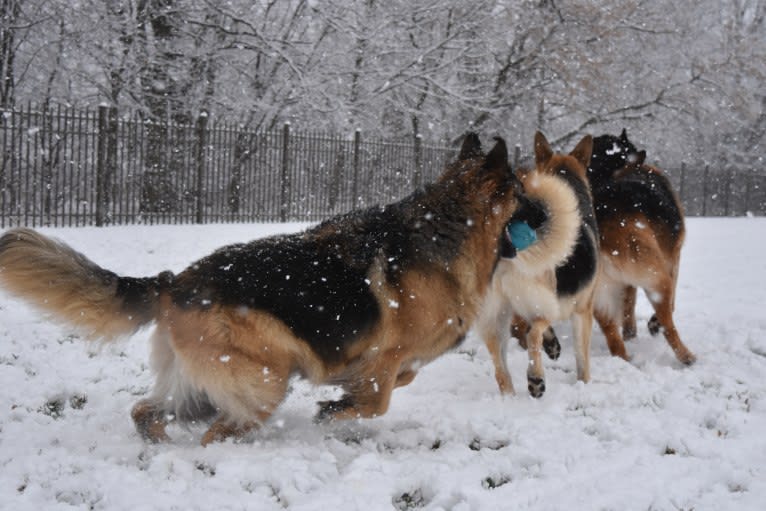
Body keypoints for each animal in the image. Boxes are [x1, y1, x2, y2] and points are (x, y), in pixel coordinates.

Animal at [0, 134, 528, 446]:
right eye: (523, 195)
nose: (545, 220)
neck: (446, 224)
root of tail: (174, 283)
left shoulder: (391, 360)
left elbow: (402, 379)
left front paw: (343, 397)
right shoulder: (388, 353)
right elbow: (379, 397)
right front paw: (336, 409)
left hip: (201, 386)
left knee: (146, 411)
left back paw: (160, 446)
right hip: (264, 381)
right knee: (216, 429)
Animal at [476, 132, 604, 396]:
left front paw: (553, 344)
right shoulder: (583, 310)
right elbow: (582, 358)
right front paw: (584, 384)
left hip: (495, 315)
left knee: (501, 368)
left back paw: (511, 397)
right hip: (539, 301)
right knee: (533, 332)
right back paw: (536, 378)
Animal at [588, 130, 696, 366]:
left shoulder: (625, 284)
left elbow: (628, 305)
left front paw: (630, 333)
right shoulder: (673, 260)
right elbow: (673, 299)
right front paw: (652, 324)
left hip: (600, 296)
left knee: (613, 339)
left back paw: (625, 359)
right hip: (656, 277)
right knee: (668, 323)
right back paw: (686, 356)